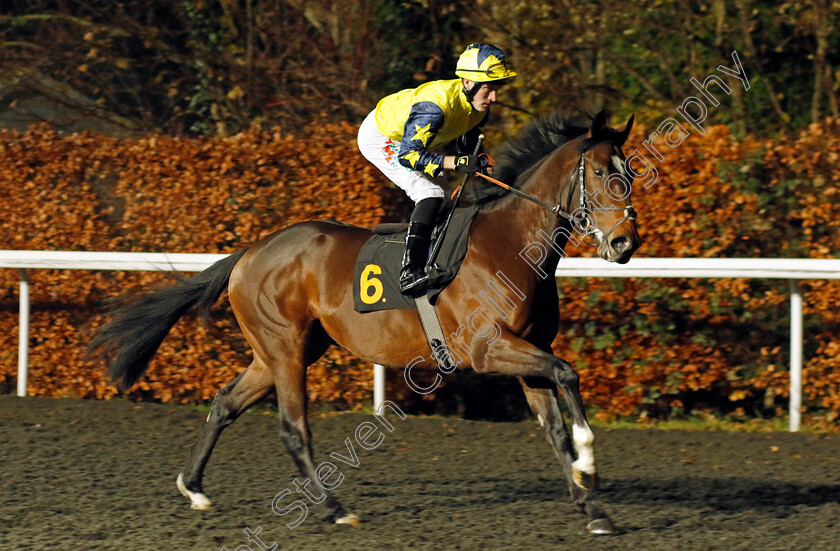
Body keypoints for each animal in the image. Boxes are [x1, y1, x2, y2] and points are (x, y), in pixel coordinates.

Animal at [88, 110, 640, 536]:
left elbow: (555, 428)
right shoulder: (489, 349)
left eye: (630, 172)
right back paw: (334, 509)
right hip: (286, 350)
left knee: (225, 403)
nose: (624, 244)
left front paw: (592, 507)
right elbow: (568, 373)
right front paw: (590, 464)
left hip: (283, 350)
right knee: (293, 428)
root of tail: (250, 251)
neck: (510, 244)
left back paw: (195, 488)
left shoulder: (526, 352)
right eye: (597, 173)